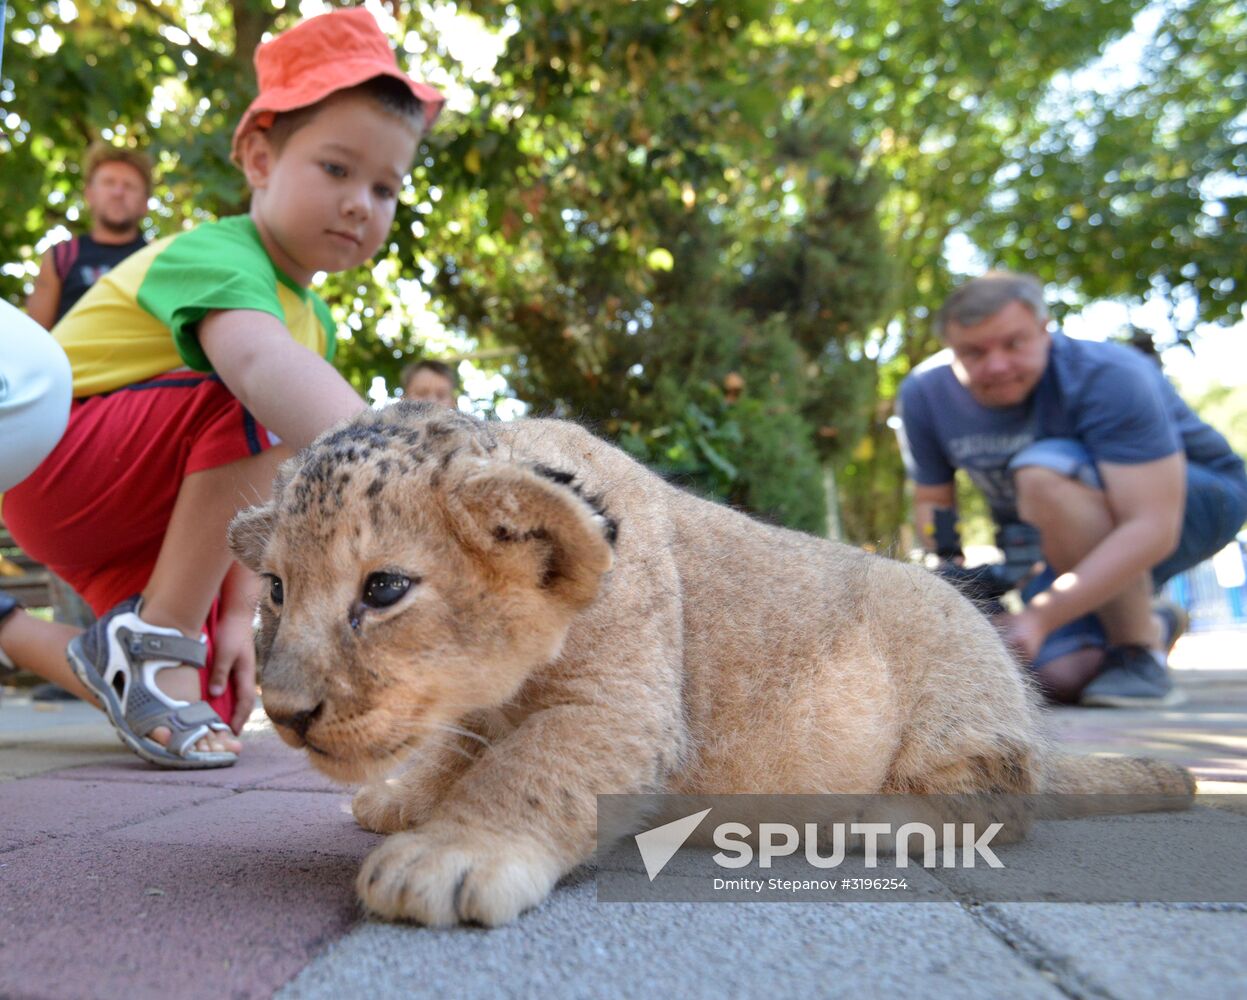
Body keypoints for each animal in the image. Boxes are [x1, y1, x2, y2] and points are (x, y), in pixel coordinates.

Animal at [227, 401, 1193, 926]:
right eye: (274, 588)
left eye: (384, 588)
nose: (283, 713)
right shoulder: (480, 709)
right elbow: (459, 748)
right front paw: (403, 796)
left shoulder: (624, 704)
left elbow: (532, 767)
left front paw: (449, 855)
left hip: (950, 676)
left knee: (1006, 793)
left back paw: (878, 819)